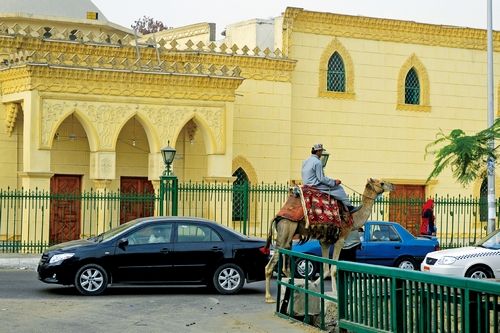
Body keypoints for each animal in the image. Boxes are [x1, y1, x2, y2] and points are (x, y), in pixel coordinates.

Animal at [264, 178, 396, 302]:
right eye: (381, 183)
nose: (392, 186)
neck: (353, 218)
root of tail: (277, 216)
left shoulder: (325, 242)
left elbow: (325, 269)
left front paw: (313, 286)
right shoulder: (341, 239)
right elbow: (333, 269)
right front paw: (335, 293)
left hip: (288, 234)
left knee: (284, 264)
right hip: (287, 227)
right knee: (270, 264)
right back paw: (268, 297)